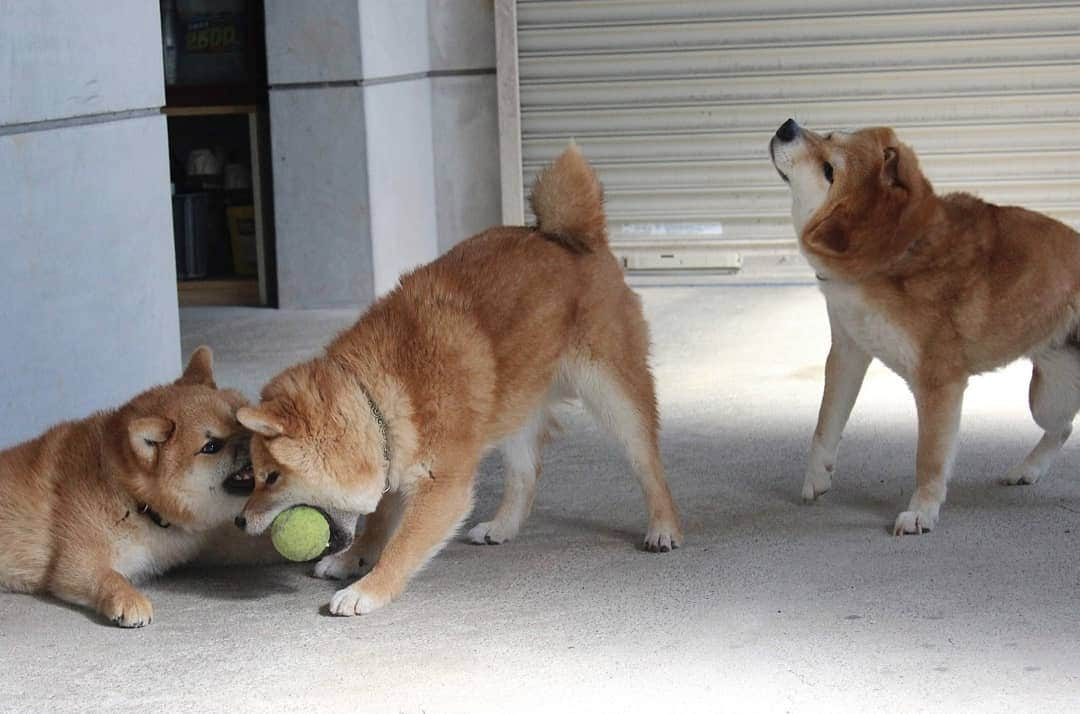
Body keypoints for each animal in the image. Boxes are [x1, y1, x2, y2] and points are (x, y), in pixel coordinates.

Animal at [234, 144, 682, 613]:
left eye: (271, 477)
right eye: (252, 475)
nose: (239, 520)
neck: (383, 390)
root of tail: (573, 235)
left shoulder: (442, 485)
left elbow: (402, 546)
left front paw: (367, 588)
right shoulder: (393, 456)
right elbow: (377, 522)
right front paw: (352, 559)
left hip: (614, 395)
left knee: (648, 464)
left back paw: (663, 528)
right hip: (514, 406)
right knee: (526, 473)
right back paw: (502, 527)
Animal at [773, 119, 1080, 535]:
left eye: (829, 170)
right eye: (830, 134)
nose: (787, 126)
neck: (894, 254)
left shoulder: (939, 382)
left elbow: (929, 457)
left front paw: (921, 511)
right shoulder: (848, 352)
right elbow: (826, 423)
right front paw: (817, 476)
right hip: (1049, 397)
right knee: (1062, 427)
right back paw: (1027, 469)